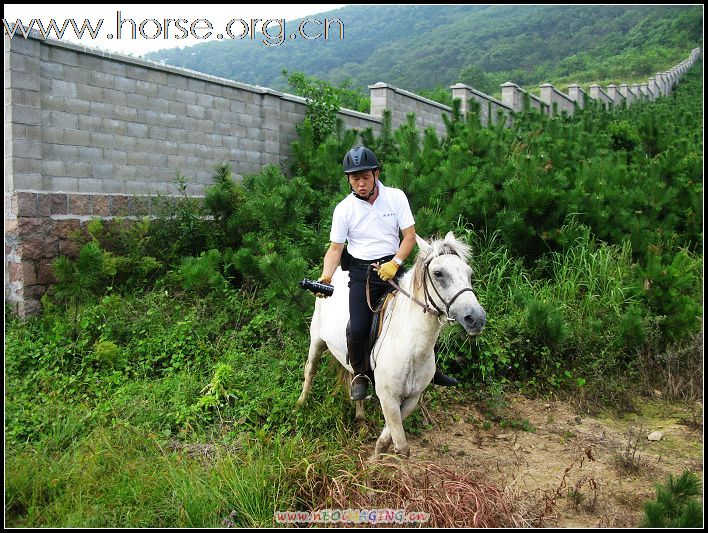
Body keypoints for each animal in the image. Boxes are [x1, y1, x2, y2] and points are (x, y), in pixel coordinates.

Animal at [298, 232, 486, 458]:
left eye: (469, 273)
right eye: (438, 273)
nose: (476, 319)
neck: (410, 348)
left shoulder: (411, 399)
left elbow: (387, 440)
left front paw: (375, 458)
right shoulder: (388, 398)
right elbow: (402, 447)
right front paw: (374, 465)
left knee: (355, 379)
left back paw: (361, 421)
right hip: (316, 340)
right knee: (310, 370)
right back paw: (300, 405)